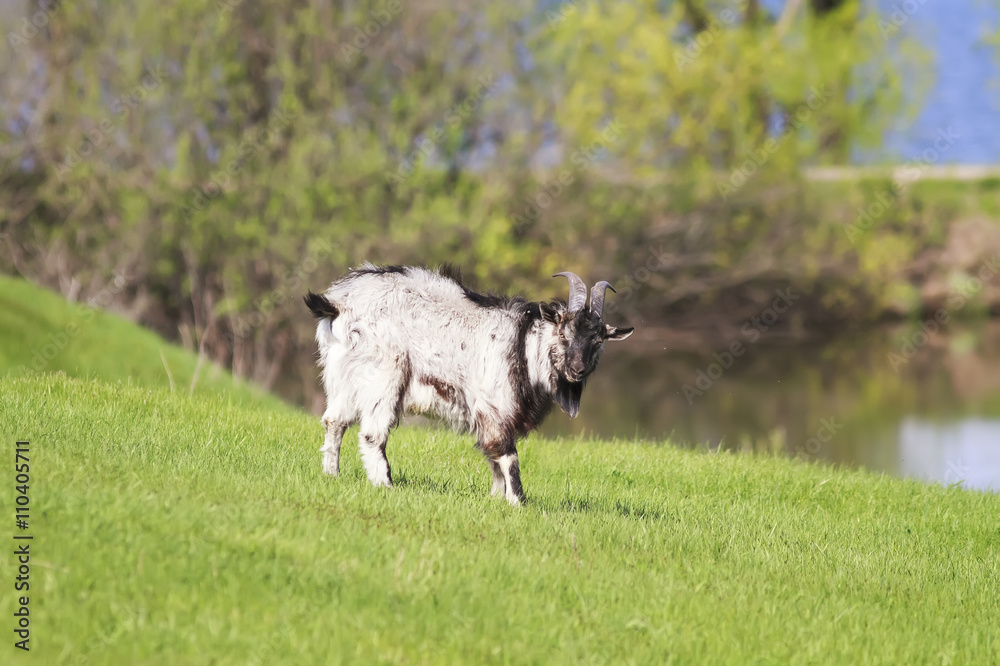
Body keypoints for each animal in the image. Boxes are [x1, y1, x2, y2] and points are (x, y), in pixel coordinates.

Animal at [304, 264, 633, 505]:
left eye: (598, 340)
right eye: (563, 334)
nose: (577, 370)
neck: (524, 346)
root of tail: (339, 304)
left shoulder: (486, 415)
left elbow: (492, 458)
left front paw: (496, 498)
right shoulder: (494, 407)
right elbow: (506, 455)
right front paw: (518, 502)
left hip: (344, 376)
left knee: (334, 421)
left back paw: (332, 475)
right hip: (384, 375)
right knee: (372, 434)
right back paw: (386, 485)